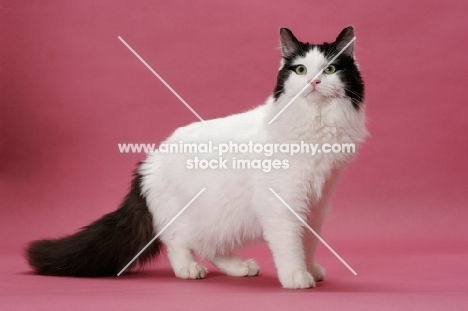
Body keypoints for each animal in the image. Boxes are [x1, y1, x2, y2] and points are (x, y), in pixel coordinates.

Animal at [27, 26, 368, 290]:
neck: (316, 125)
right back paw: (188, 270)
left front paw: (310, 269)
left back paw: (238, 267)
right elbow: (290, 244)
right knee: (178, 242)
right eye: (300, 70)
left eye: (330, 70)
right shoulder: (283, 204)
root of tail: (148, 163)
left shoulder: (316, 204)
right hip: (189, 213)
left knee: (209, 245)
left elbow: (307, 242)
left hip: (223, 215)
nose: (314, 82)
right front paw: (297, 276)